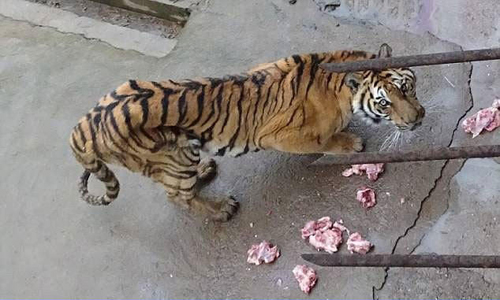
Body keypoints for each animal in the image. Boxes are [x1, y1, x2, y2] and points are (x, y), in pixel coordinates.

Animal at [68, 42, 424, 220]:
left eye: (406, 88)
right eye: (384, 103)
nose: (417, 118)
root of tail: (83, 127)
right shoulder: (278, 135)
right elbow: (323, 140)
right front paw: (348, 141)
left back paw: (206, 170)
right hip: (176, 156)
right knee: (177, 195)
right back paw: (219, 209)